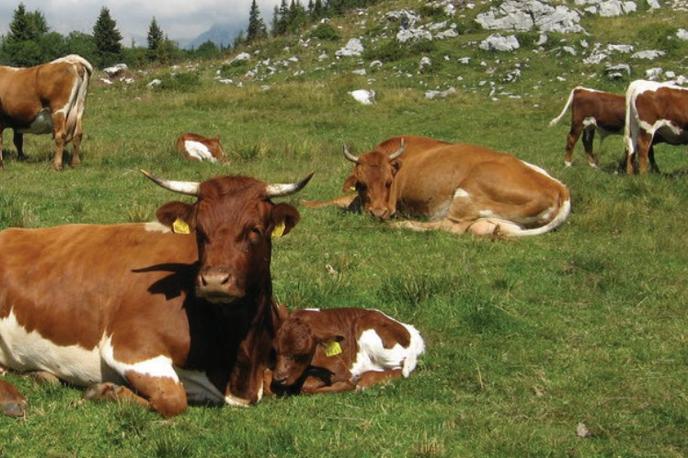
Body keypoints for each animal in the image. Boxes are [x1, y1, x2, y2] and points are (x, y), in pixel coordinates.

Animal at [0, 170, 312, 416]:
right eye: (199, 231)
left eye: (255, 229)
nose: (214, 281)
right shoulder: (129, 347)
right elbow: (173, 399)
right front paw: (104, 391)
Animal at [268, 308, 424, 394]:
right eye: (275, 349)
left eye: (301, 353)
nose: (279, 379)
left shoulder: (339, 369)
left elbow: (307, 385)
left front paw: (346, 383)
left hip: (367, 331)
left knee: (402, 368)